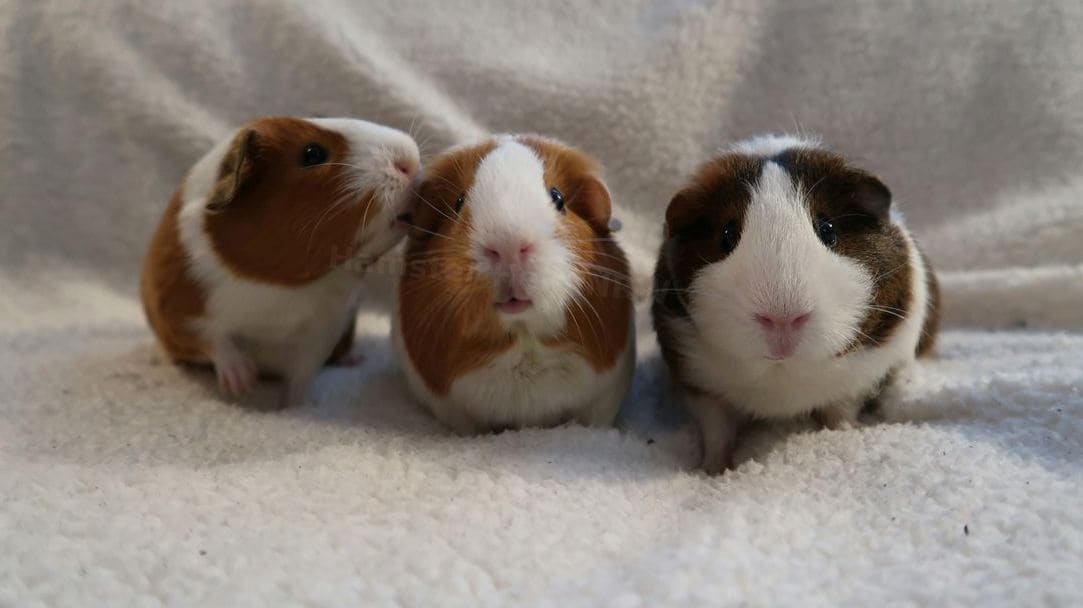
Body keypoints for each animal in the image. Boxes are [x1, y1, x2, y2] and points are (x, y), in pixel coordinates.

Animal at [141, 116, 420, 408]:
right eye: (312, 153)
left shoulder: (321, 334)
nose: (411, 160)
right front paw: (242, 385)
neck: (276, 289)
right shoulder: (178, 307)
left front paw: (290, 408)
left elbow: (300, 378)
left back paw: (353, 360)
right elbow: (215, 340)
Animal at [652, 135, 940, 474]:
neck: (782, 373)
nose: (782, 319)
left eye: (827, 229)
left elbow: (840, 410)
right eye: (727, 235)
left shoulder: (857, 379)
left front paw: (846, 433)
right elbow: (717, 430)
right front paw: (713, 470)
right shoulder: (701, 387)